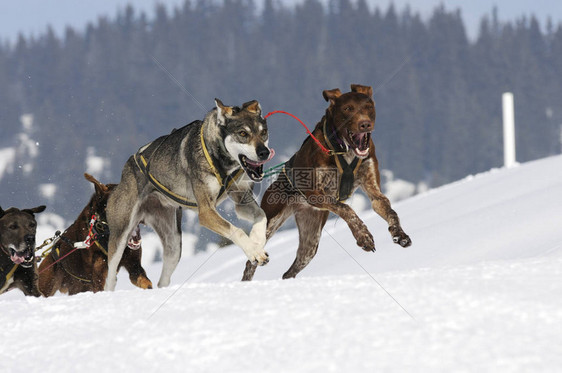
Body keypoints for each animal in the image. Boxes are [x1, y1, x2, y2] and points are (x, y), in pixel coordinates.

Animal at [106, 98, 272, 288]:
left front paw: (257, 241)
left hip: (174, 245)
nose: (264, 152)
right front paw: (254, 251)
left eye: (264, 132)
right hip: (120, 236)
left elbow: (261, 214)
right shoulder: (206, 212)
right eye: (243, 133)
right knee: (111, 276)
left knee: (163, 280)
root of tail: (126, 170)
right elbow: (236, 230)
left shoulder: (241, 200)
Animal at [243, 83, 410, 280]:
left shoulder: (374, 192)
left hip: (311, 241)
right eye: (348, 109)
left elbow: (390, 211)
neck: (343, 148)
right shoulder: (313, 193)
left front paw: (399, 233)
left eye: (368, 106)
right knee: (251, 261)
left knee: (291, 270)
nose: (365, 124)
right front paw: (363, 235)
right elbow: (347, 209)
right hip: (270, 221)